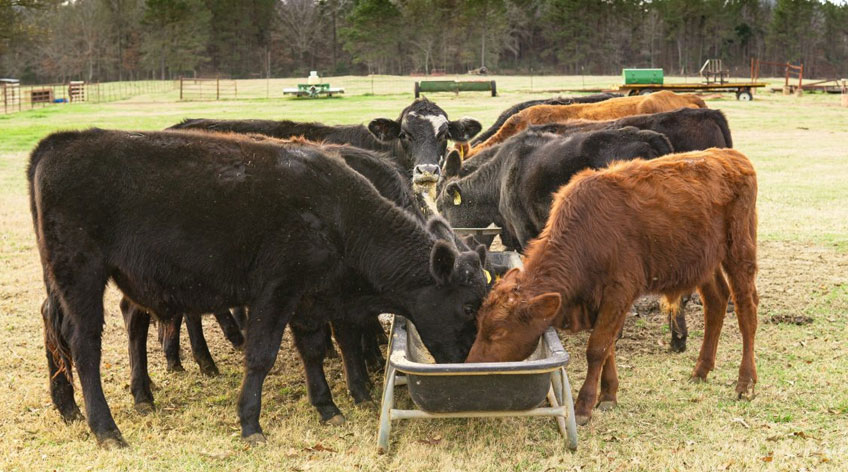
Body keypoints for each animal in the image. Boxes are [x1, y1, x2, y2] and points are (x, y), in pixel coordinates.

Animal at [30, 129, 487, 447]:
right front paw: (251, 423)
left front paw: (328, 407)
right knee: (84, 344)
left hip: (73, 281)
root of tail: (57, 144)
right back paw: (106, 428)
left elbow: (314, 350)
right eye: (468, 307)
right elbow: (261, 355)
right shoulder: (276, 292)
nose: (468, 360)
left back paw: (76, 405)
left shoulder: (309, 299)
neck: (338, 212)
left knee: (62, 325)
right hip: (82, 278)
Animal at [466, 148, 759, 427]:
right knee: (716, 302)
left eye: (499, 332)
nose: (471, 364)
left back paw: (745, 382)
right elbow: (608, 349)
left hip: (739, 251)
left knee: (746, 310)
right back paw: (701, 370)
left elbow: (597, 348)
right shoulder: (599, 301)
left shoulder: (619, 293)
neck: (588, 234)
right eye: (479, 324)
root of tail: (732, 157)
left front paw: (584, 406)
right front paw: (608, 394)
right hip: (704, 262)